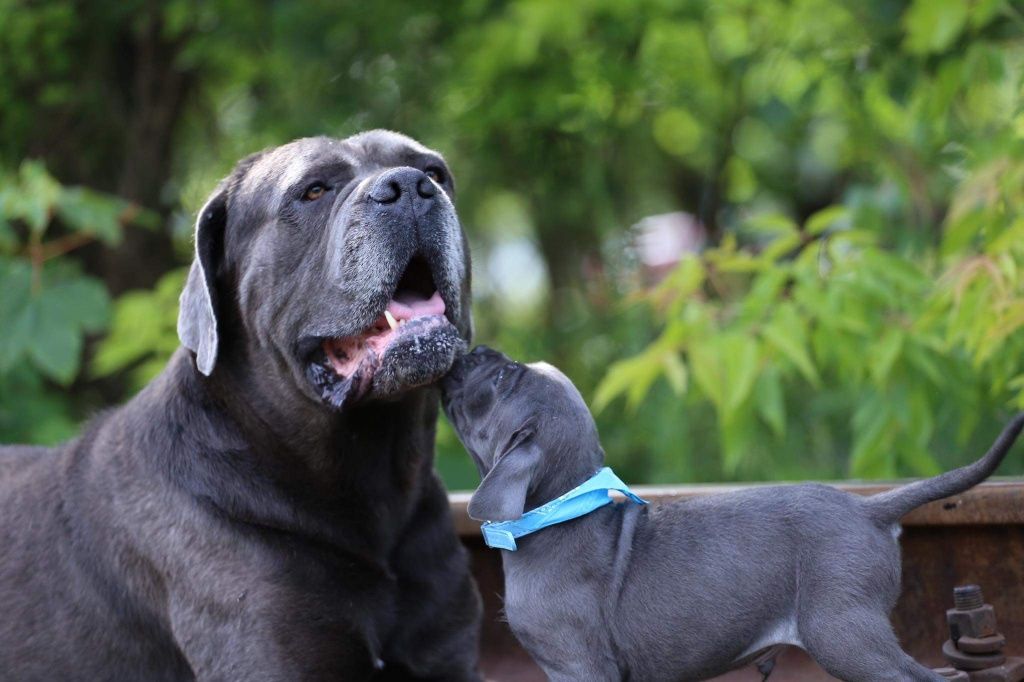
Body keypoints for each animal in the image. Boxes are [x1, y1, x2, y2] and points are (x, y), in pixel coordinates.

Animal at [440, 346, 1024, 679]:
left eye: (502, 380)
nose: (474, 346)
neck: (558, 510)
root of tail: (870, 508)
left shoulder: (577, 665)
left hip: (843, 630)